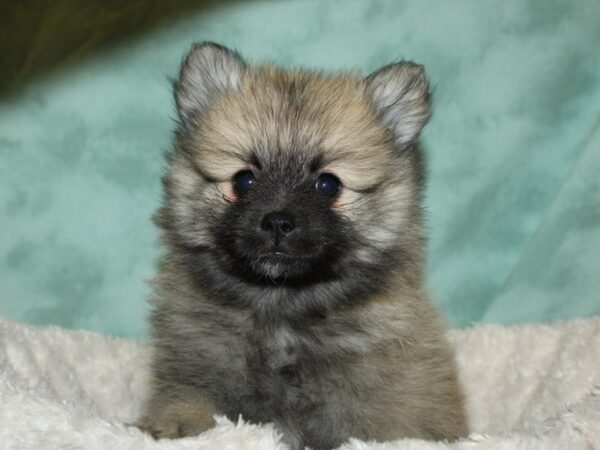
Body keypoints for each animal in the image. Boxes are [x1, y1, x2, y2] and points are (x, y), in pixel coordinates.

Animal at [138, 42, 466, 450]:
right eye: (243, 180)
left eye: (328, 185)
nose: (278, 221)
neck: (282, 303)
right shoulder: (194, 367)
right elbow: (189, 404)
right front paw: (175, 427)